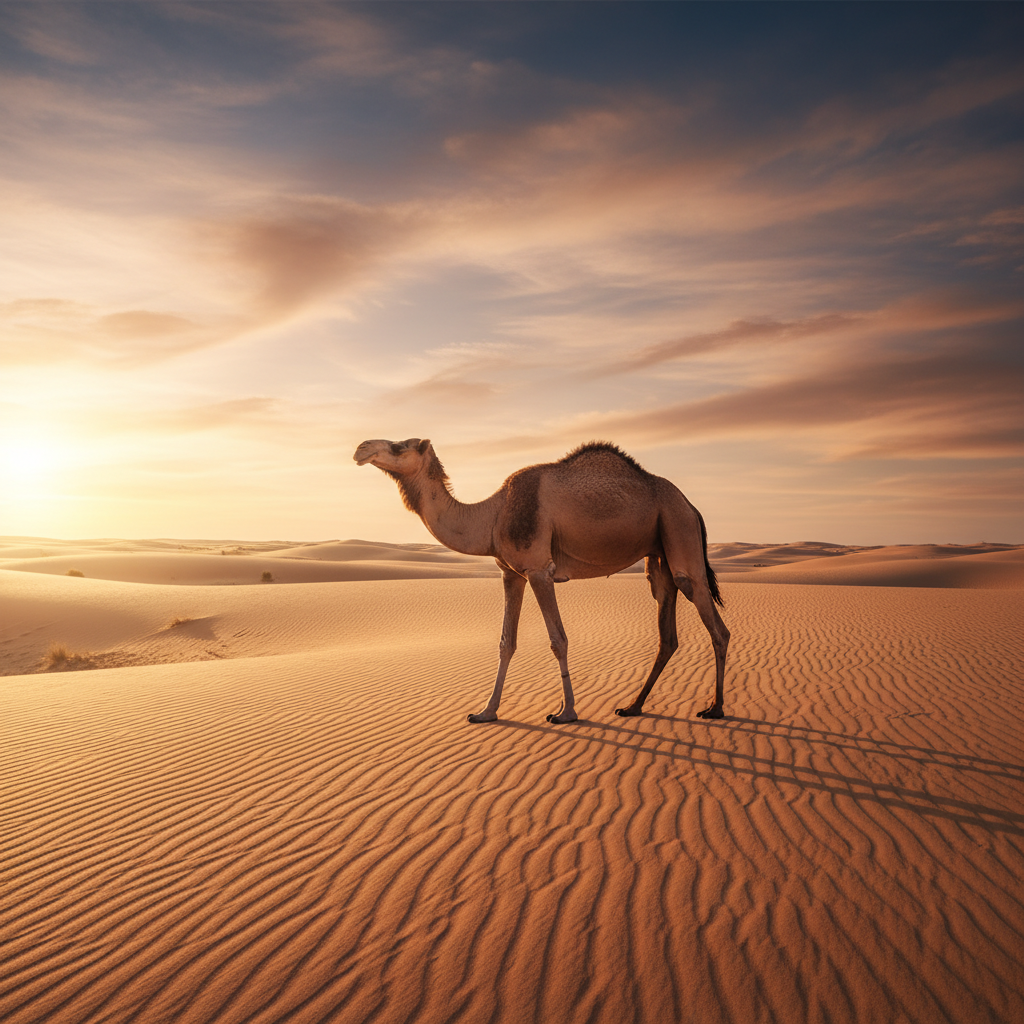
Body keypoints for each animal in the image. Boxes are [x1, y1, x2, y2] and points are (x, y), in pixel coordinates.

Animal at [354, 438, 729, 724]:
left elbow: (558, 640)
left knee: (714, 623)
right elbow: (506, 642)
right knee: (667, 628)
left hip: (678, 528)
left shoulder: (538, 569)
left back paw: (715, 708)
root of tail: (691, 506)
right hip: (659, 551)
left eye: (400, 446)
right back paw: (632, 706)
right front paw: (485, 712)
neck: (492, 514)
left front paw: (566, 713)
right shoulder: (511, 573)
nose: (361, 448)